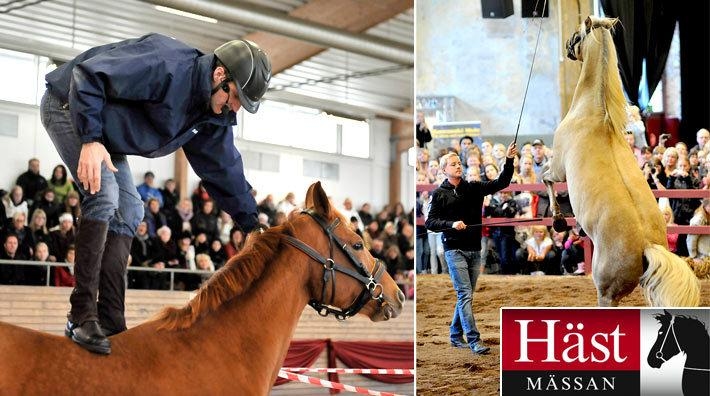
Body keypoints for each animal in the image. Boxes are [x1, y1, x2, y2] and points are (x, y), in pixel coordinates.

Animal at [544, 16, 700, 306]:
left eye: (579, 35)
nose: (568, 47)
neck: (593, 114)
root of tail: (648, 246)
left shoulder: (558, 168)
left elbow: (545, 178)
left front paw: (559, 221)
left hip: (607, 294)